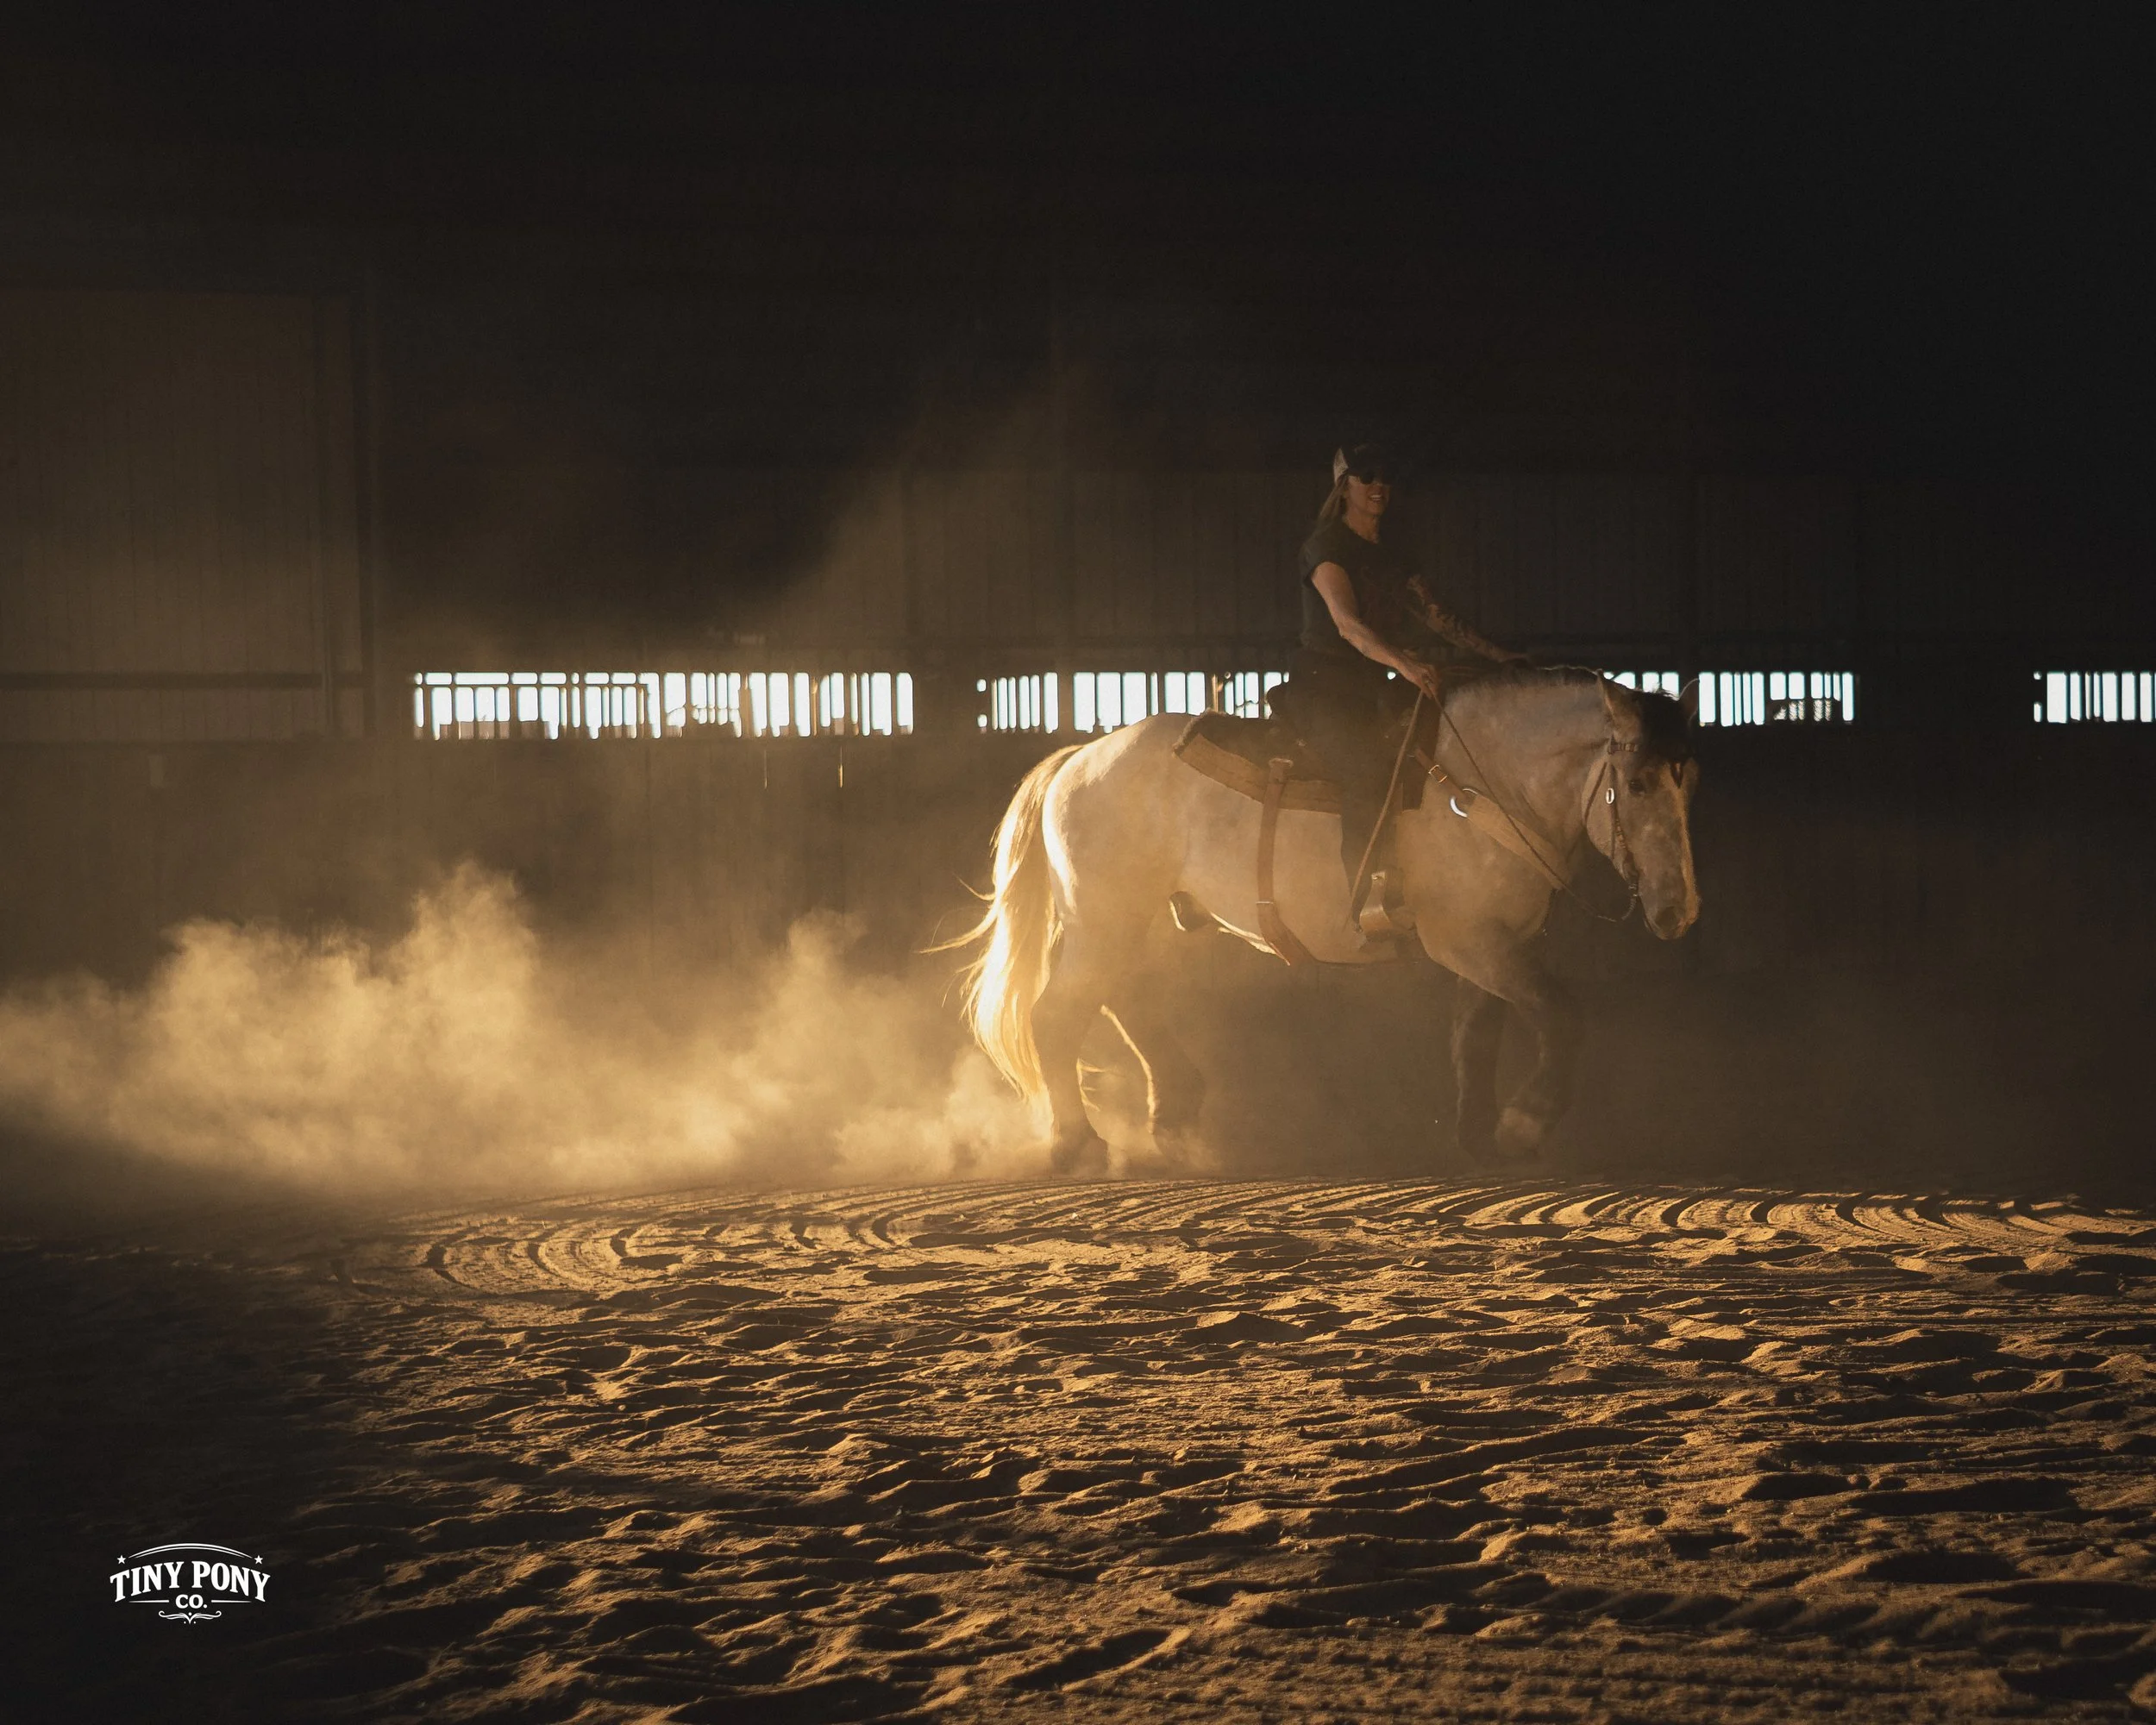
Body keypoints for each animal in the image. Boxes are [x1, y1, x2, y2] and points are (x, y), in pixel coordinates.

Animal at [950, 669, 1701, 1174]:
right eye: (1637, 783)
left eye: (1688, 781)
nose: (1679, 910)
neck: (1485, 786)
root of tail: (1076, 760)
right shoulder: (1471, 943)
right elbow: (1563, 1015)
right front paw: (1524, 1124)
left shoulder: (1495, 946)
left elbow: (1476, 1037)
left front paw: (1479, 1137)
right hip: (1103, 916)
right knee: (1058, 1014)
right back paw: (1079, 1145)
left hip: (1142, 919)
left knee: (1127, 999)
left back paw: (1177, 1120)